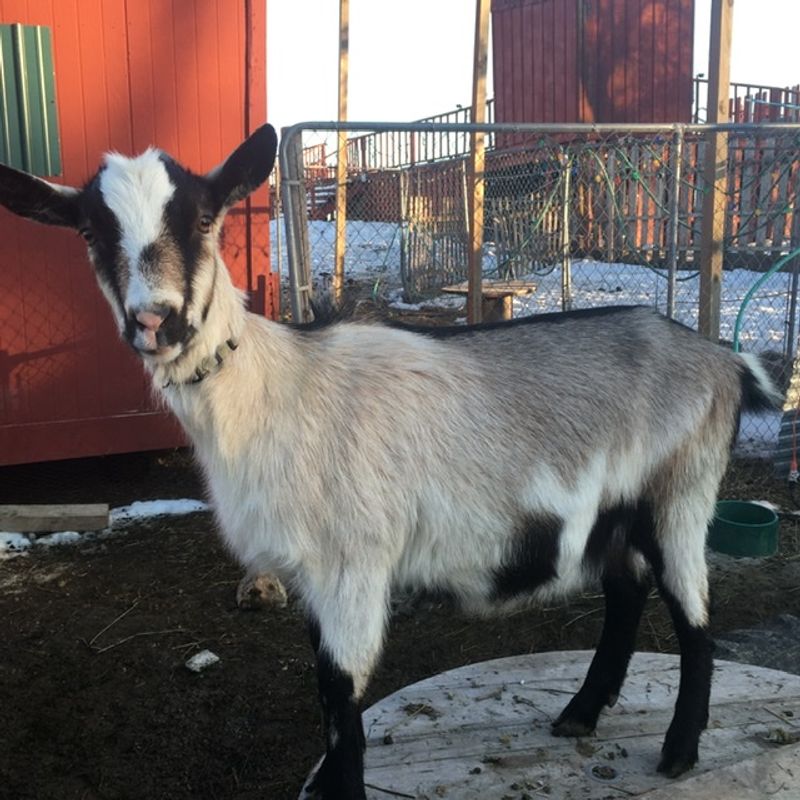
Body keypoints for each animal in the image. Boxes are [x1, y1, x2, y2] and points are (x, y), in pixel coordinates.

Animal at [0, 124, 781, 800]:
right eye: (92, 231)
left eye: (201, 218)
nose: (155, 320)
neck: (274, 390)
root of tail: (721, 361)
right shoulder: (312, 576)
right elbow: (325, 694)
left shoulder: (354, 564)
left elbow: (340, 695)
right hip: (617, 511)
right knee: (626, 592)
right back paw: (580, 714)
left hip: (681, 493)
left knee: (692, 616)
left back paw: (678, 752)